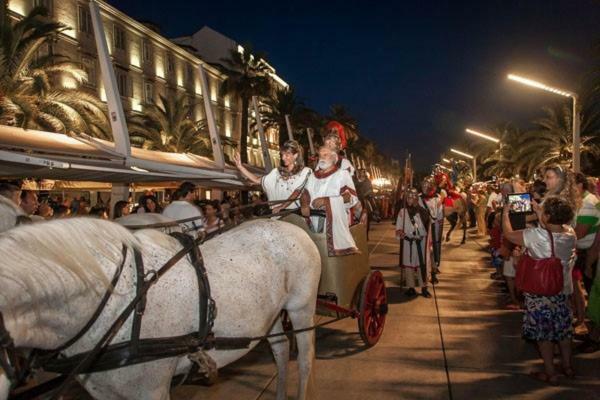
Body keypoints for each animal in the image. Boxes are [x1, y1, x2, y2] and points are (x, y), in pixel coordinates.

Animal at [0, 216, 324, 396]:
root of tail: (287, 224)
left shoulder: (151, 388)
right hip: (271, 314)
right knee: (280, 349)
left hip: (301, 307)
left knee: (306, 359)